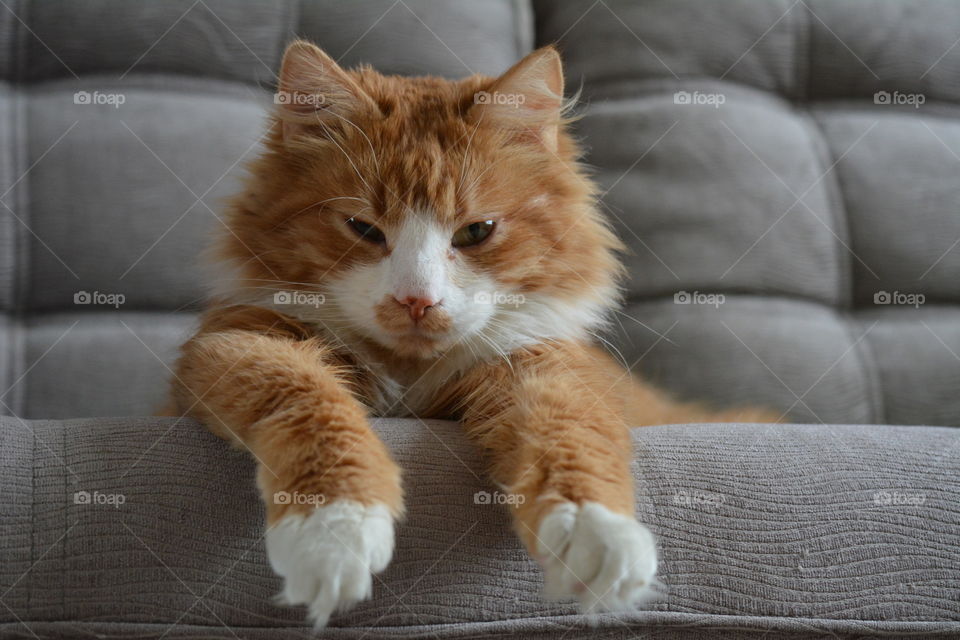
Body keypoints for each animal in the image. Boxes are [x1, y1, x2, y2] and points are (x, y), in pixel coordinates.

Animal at [169, 41, 776, 632]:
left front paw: (595, 531)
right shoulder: (241, 342)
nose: (416, 301)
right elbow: (310, 402)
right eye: (364, 229)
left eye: (476, 232)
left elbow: (572, 428)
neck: (410, 379)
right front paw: (334, 531)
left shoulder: (541, 362)